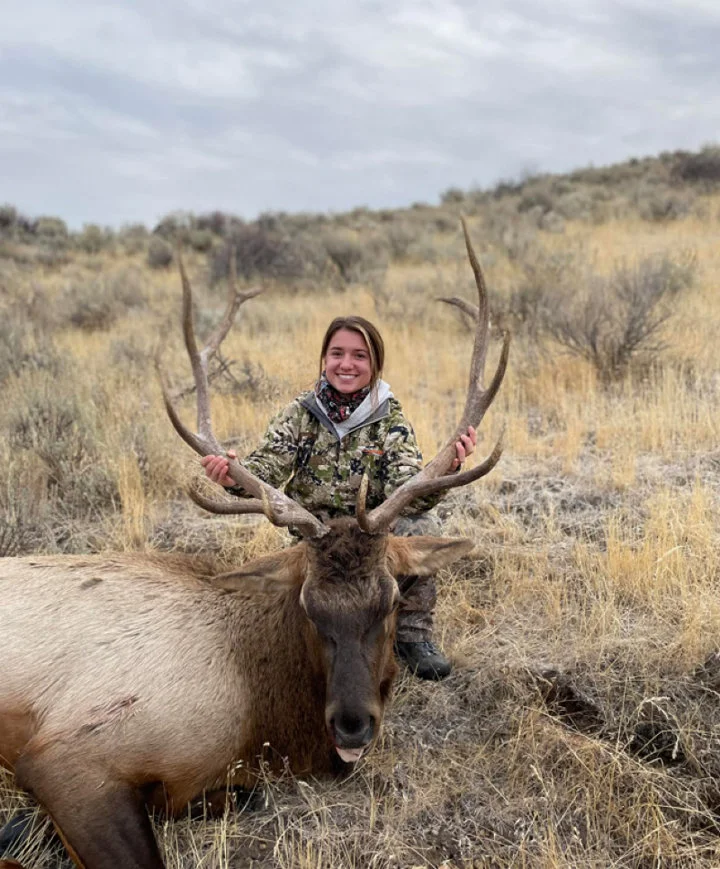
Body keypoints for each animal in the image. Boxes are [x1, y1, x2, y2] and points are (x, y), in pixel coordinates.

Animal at [0, 219, 509, 869]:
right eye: (308, 606)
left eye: (394, 600)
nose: (351, 726)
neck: (257, 712)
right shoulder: (66, 755)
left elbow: (243, 795)